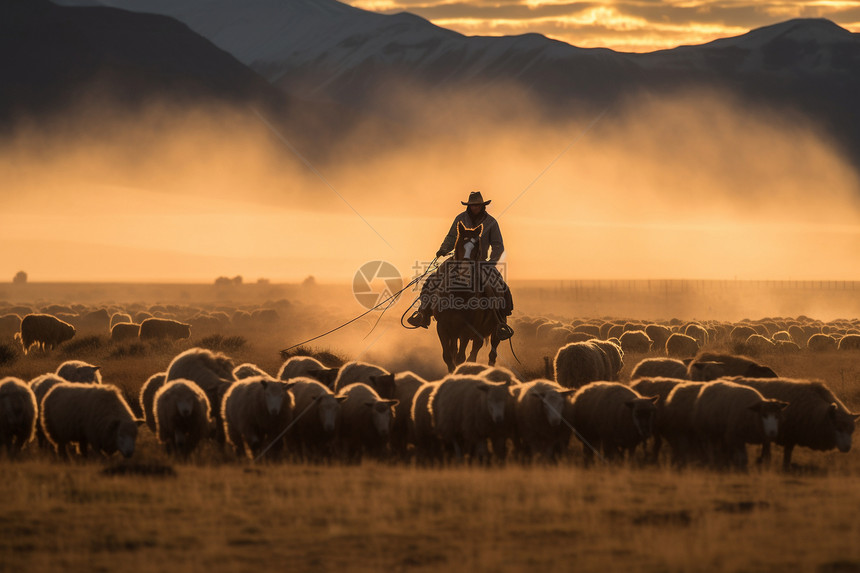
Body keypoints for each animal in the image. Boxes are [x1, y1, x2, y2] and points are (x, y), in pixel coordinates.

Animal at [430, 219, 504, 370]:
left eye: (477, 245)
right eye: (459, 243)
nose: (465, 271)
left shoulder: (466, 329)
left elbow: (460, 358)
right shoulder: (442, 327)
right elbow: (448, 357)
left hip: (494, 330)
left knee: (489, 353)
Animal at [728, 376, 860, 470]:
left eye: (851, 430)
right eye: (838, 428)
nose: (848, 448)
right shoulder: (789, 435)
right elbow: (787, 454)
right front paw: (784, 467)